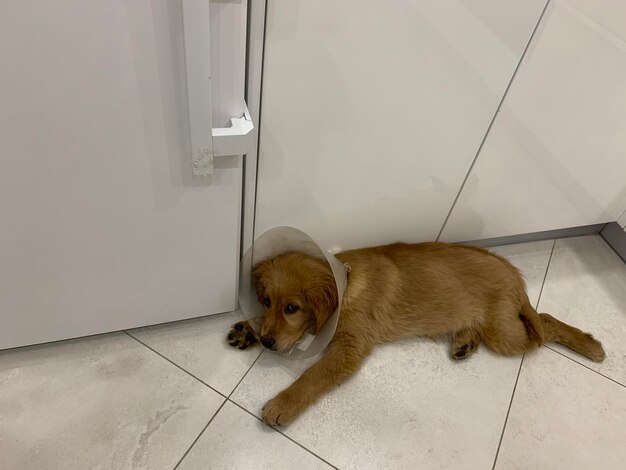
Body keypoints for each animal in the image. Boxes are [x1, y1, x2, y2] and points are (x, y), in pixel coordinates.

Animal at [227, 242, 604, 426]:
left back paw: (590, 344)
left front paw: (281, 405)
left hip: (505, 333)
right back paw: (465, 343)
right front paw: (249, 329)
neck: (348, 284)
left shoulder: (350, 348)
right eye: (266, 301)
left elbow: (312, 376)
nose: (267, 342)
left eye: (292, 308)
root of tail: (514, 274)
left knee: (545, 322)